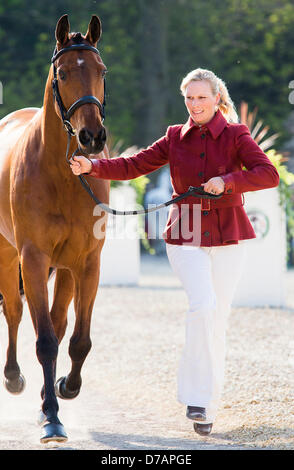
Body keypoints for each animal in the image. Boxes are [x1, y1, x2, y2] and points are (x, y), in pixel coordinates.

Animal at [0, 13, 109, 440]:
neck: (63, 175)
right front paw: (51, 417)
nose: (92, 137)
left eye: (101, 70)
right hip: (8, 255)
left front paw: (66, 388)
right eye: (62, 73)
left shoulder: (88, 263)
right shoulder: (32, 259)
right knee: (15, 314)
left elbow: (78, 340)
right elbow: (44, 340)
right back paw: (14, 377)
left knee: (60, 323)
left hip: (64, 269)